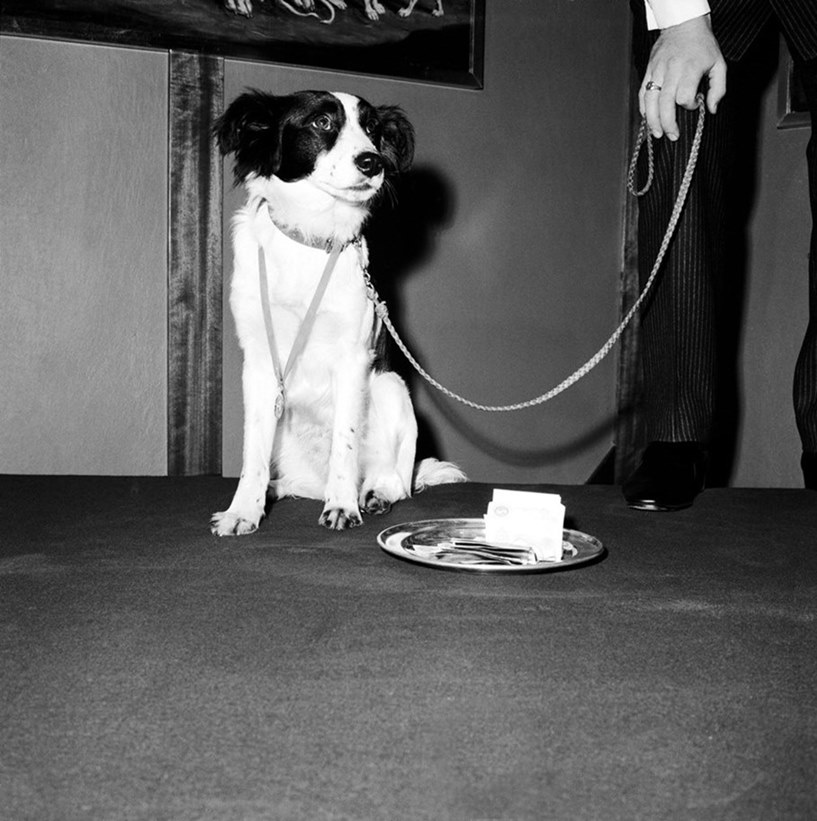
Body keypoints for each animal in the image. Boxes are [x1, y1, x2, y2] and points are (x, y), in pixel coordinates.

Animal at [210, 89, 462, 536]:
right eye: (322, 122)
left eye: (373, 130)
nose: (373, 162)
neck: (309, 239)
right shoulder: (257, 363)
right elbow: (252, 453)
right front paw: (244, 510)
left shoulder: (352, 359)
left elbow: (345, 444)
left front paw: (343, 505)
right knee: (295, 481)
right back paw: (278, 489)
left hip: (391, 387)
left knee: (397, 481)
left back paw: (374, 493)